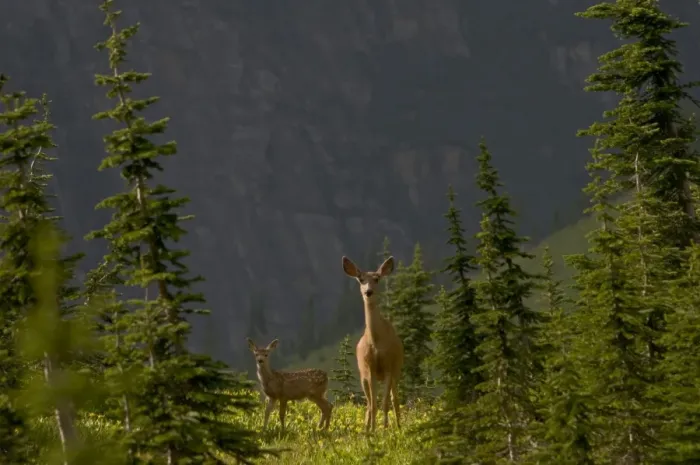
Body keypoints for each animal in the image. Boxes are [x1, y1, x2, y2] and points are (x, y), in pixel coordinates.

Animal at [341, 255, 404, 432]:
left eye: (376, 279)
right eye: (361, 279)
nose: (368, 291)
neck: (376, 342)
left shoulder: (389, 366)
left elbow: (385, 403)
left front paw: (385, 430)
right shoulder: (370, 368)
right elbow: (374, 405)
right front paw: (374, 431)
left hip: (397, 371)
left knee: (395, 399)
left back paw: (398, 426)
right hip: (363, 375)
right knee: (369, 403)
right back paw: (366, 429)